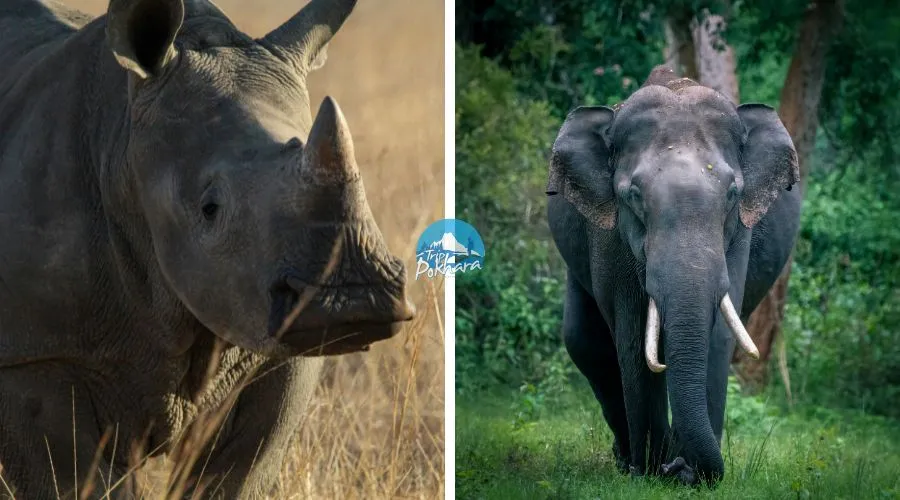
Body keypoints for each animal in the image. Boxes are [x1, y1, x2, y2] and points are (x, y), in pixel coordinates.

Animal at [0, 0, 416, 497]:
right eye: (209, 209)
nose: (354, 301)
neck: (121, 140)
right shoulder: (33, 353)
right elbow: (74, 480)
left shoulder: (276, 354)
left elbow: (237, 473)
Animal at [546, 65, 801, 485]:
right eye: (633, 195)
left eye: (733, 194)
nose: (676, 468)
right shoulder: (609, 237)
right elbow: (632, 336)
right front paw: (650, 470)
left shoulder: (738, 236)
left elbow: (718, 335)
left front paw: (688, 474)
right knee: (583, 341)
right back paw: (627, 459)